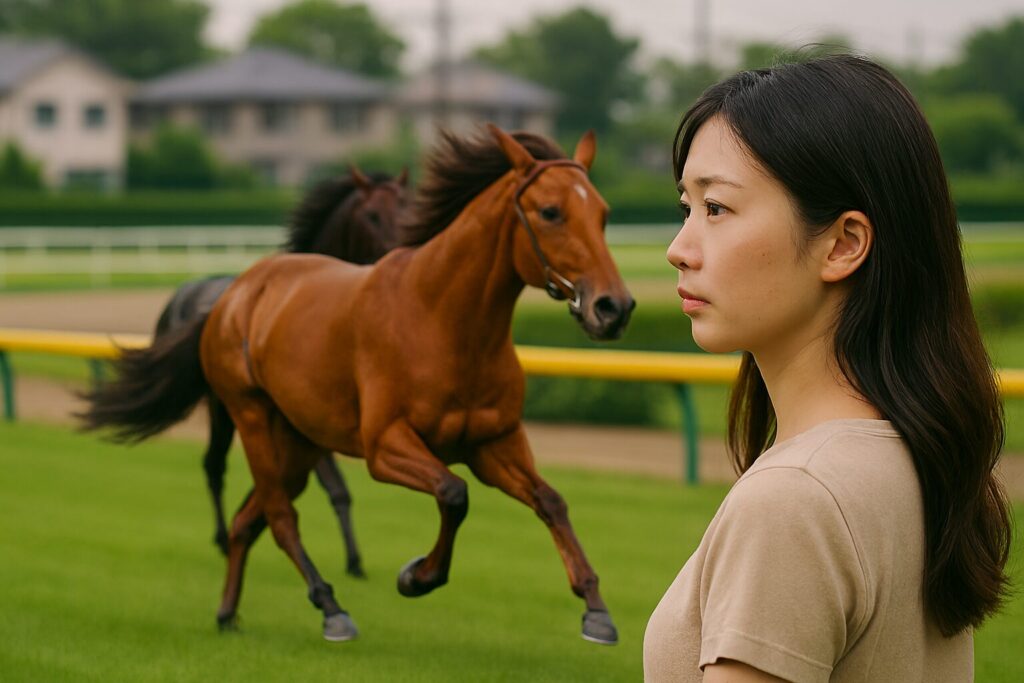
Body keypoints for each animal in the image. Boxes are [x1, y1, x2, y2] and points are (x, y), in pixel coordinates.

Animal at [144, 167, 408, 577]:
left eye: (407, 206)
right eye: (372, 215)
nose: (399, 255)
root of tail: (184, 293)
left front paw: (355, 561)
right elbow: (333, 486)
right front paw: (351, 560)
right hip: (221, 408)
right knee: (213, 464)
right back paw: (222, 539)